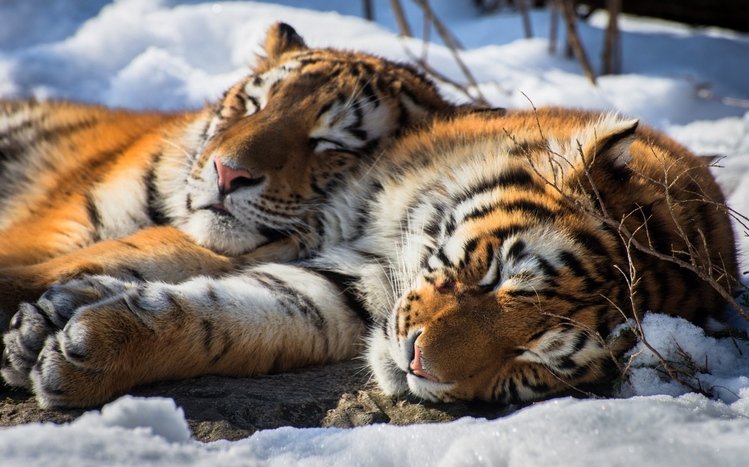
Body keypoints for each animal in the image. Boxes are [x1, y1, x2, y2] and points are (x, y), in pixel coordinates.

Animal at [2, 104, 737, 408]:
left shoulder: (336, 293)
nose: (416, 362)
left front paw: (81, 351)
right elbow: (145, 255)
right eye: (495, 273)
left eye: (533, 364)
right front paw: (44, 315)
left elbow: (222, 319)